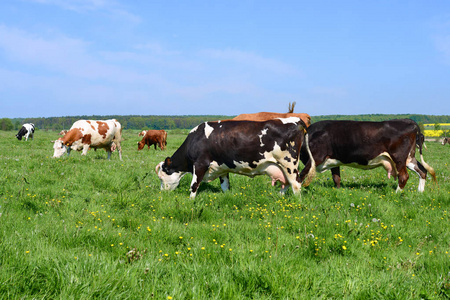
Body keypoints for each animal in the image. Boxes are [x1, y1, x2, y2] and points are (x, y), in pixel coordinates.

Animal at [155, 118, 312, 199]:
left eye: (161, 177)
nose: (162, 193)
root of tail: (296, 120)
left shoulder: (200, 164)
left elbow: (193, 185)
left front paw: (190, 202)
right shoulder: (221, 168)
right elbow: (225, 186)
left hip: (289, 163)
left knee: (296, 184)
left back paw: (296, 202)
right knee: (287, 184)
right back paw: (278, 197)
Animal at [298, 119, 436, 192]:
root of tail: (408, 121)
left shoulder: (315, 158)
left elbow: (300, 175)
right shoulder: (334, 161)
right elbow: (336, 178)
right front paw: (338, 191)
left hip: (399, 157)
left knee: (404, 176)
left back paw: (397, 194)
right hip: (409, 158)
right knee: (422, 171)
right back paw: (419, 192)